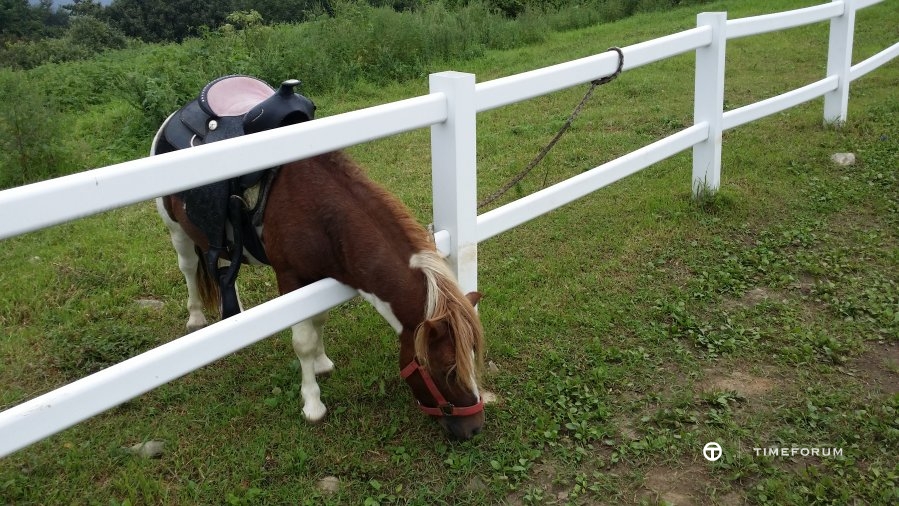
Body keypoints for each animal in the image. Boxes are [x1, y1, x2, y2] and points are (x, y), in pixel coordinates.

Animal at [156, 145, 492, 438]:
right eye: (448, 369)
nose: (474, 429)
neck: (316, 210)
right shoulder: (290, 279)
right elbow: (303, 342)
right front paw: (313, 404)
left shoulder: (319, 280)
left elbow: (318, 322)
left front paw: (321, 363)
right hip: (176, 229)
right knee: (188, 266)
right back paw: (196, 318)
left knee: (225, 269)